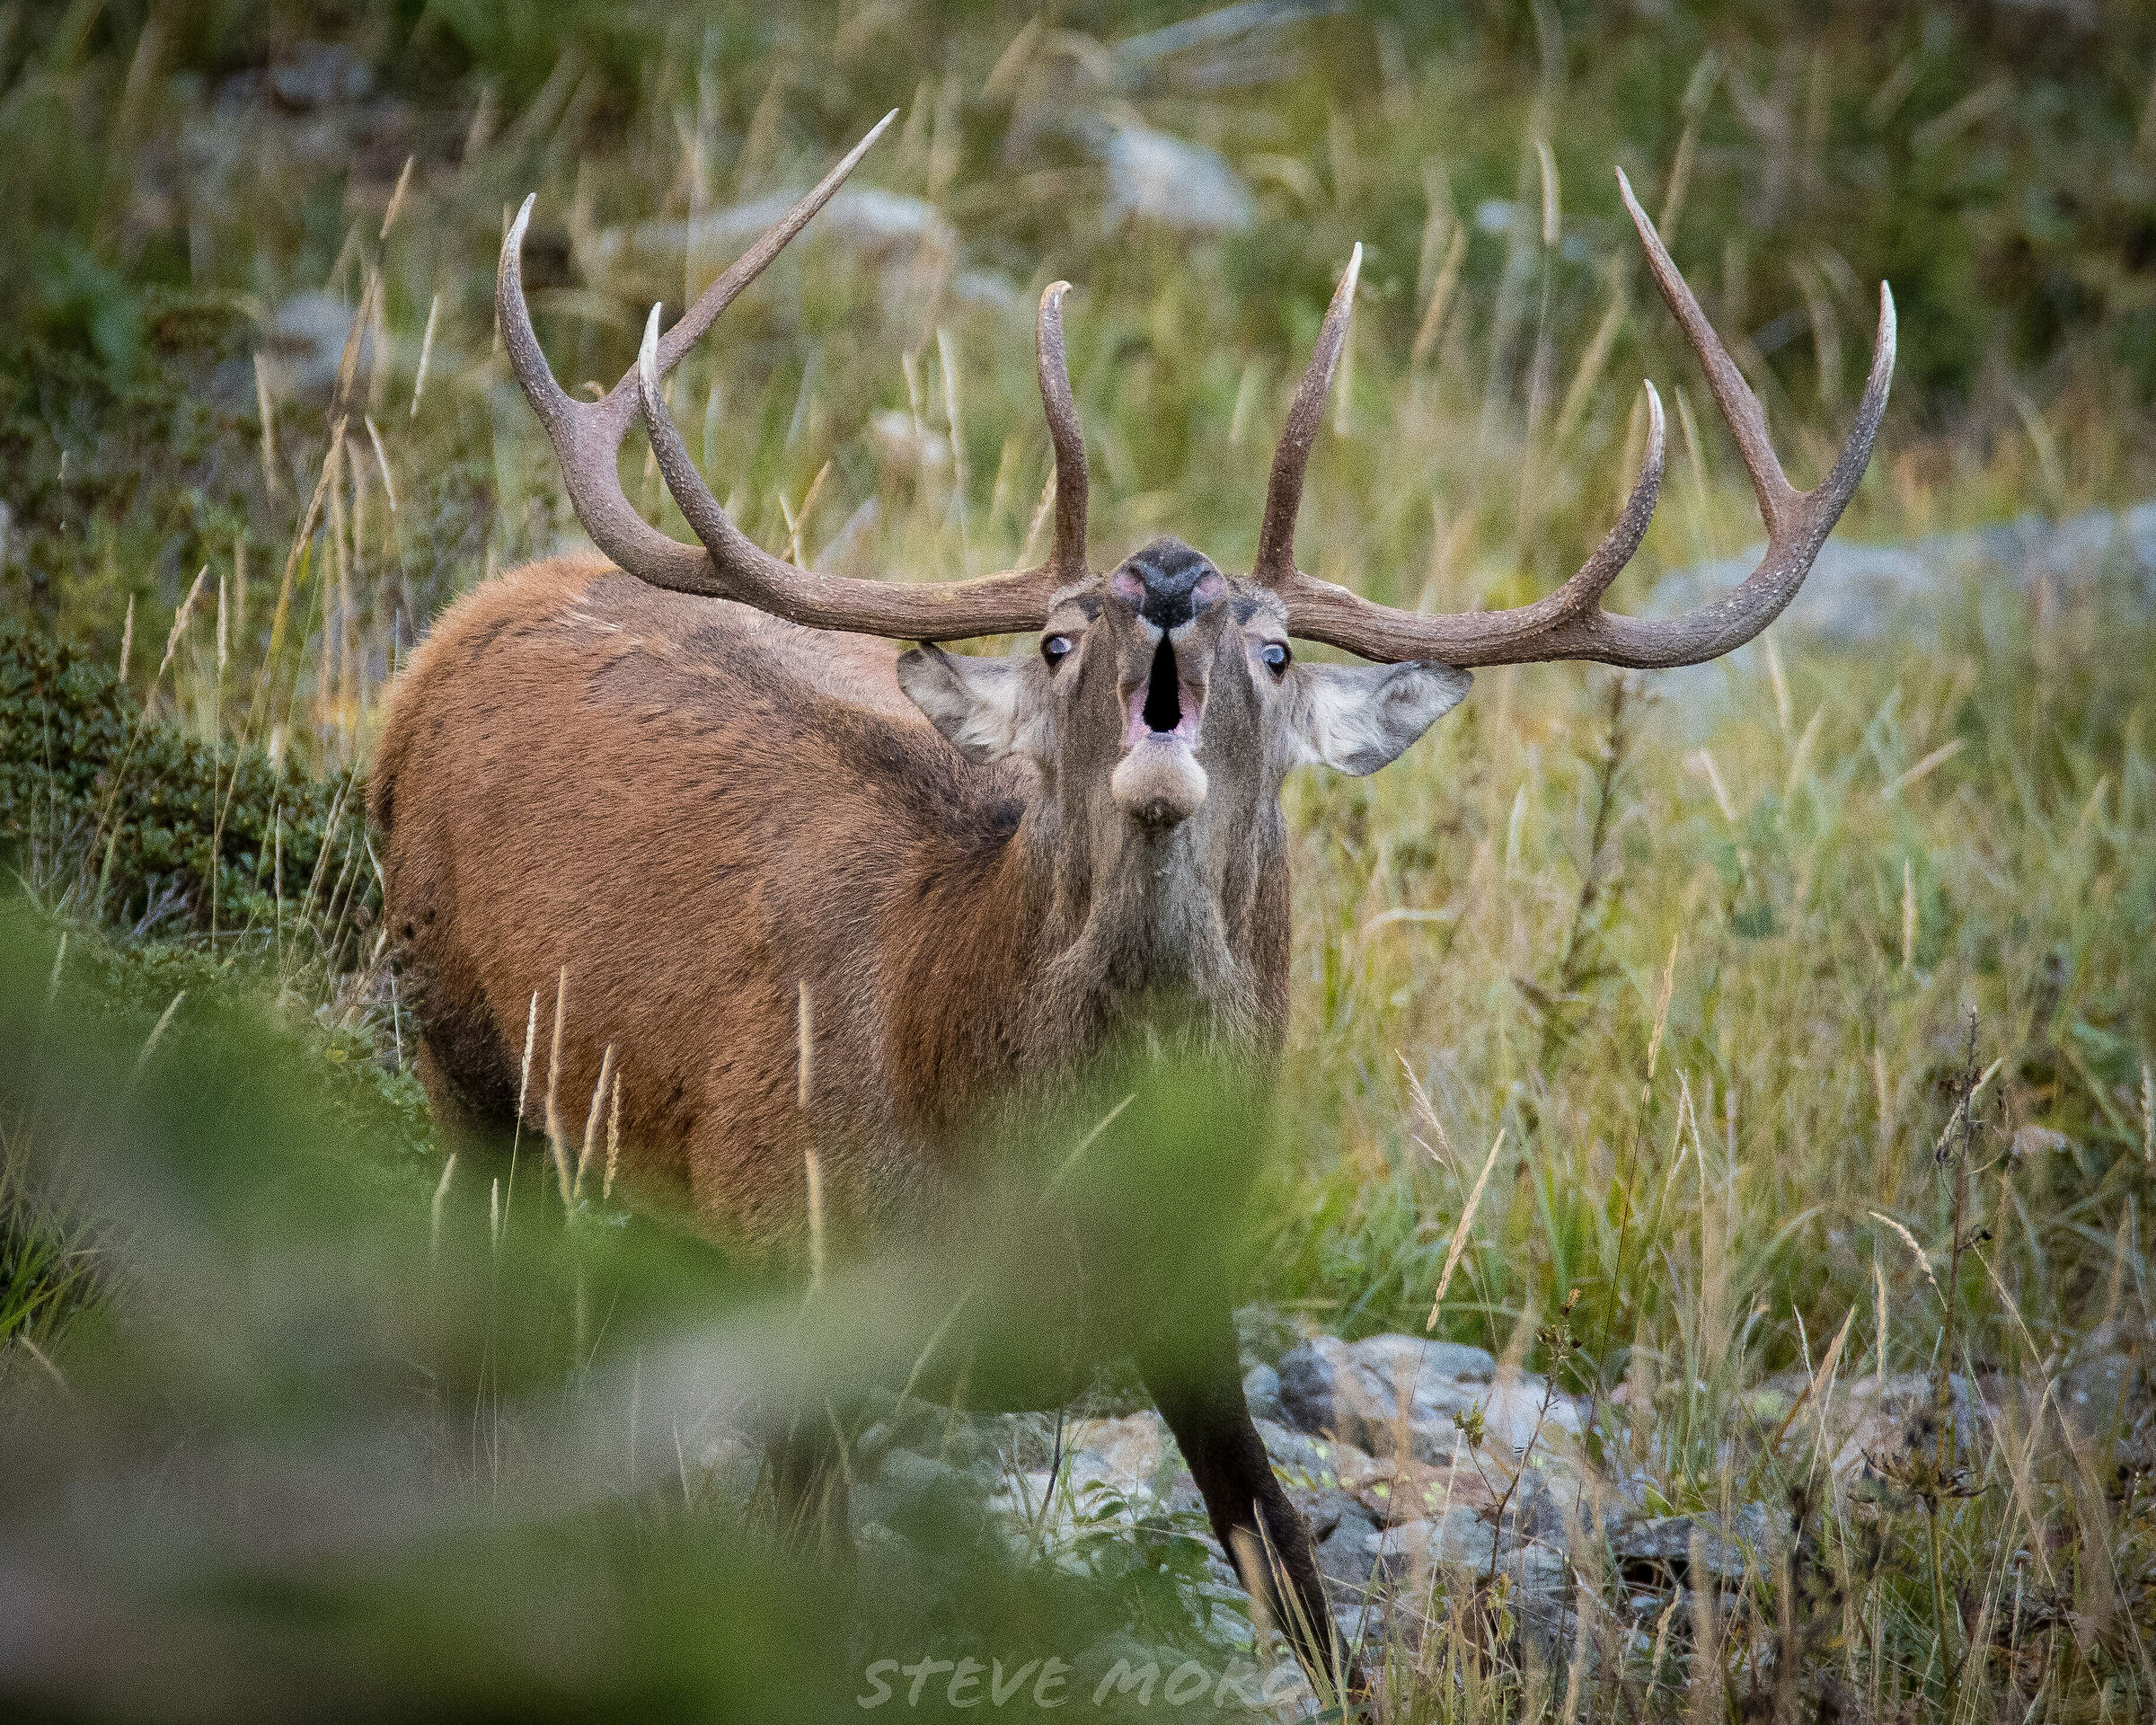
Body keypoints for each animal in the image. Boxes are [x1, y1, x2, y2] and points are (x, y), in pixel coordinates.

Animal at [369, 111, 1893, 1696]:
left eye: (1275, 652)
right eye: (1056, 640)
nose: (1166, 572)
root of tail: (455, 631)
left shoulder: (1195, 1306)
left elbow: (1305, 1599)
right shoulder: (788, 1258)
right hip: (460, 1058)